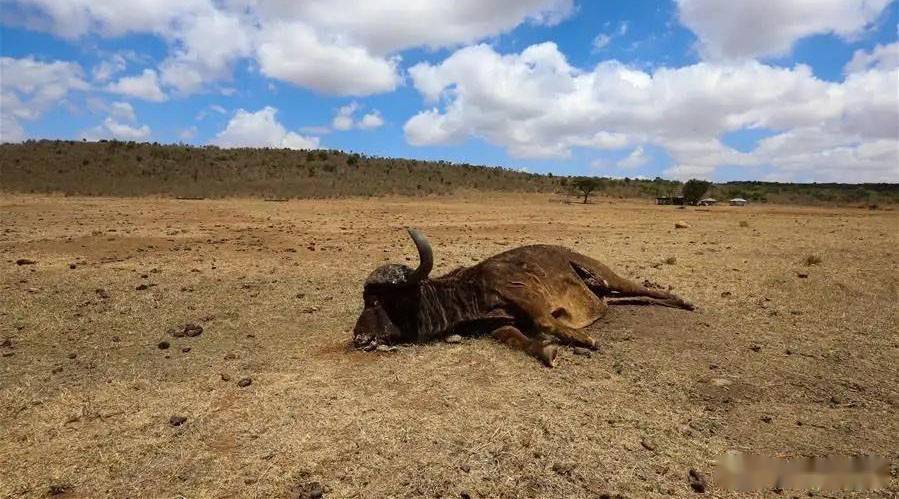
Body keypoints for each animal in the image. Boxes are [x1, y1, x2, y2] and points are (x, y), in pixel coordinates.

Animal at [352, 230, 696, 368]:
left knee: (643, 289)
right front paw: (546, 350)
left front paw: (583, 339)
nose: (358, 338)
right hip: (606, 291)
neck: (469, 291)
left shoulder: (528, 299)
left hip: (608, 275)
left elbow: (545, 322)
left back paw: (684, 302)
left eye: (375, 302)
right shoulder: (497, 326)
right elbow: (513, 337)